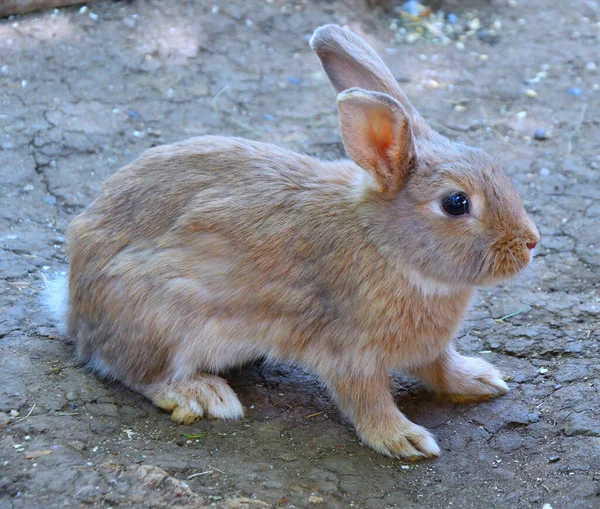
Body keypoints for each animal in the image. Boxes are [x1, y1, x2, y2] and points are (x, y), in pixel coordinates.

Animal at [42, 24, 540, 460]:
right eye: (456, 203)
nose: (530, 243)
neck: (386, 244)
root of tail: (74, 303)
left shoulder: (426, 349)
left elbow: (441, 366)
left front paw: (480, 379)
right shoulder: (349, 353)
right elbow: (367, 400)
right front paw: (404, 439)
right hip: (160, 317)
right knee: (135, 371)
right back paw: (204, 394)